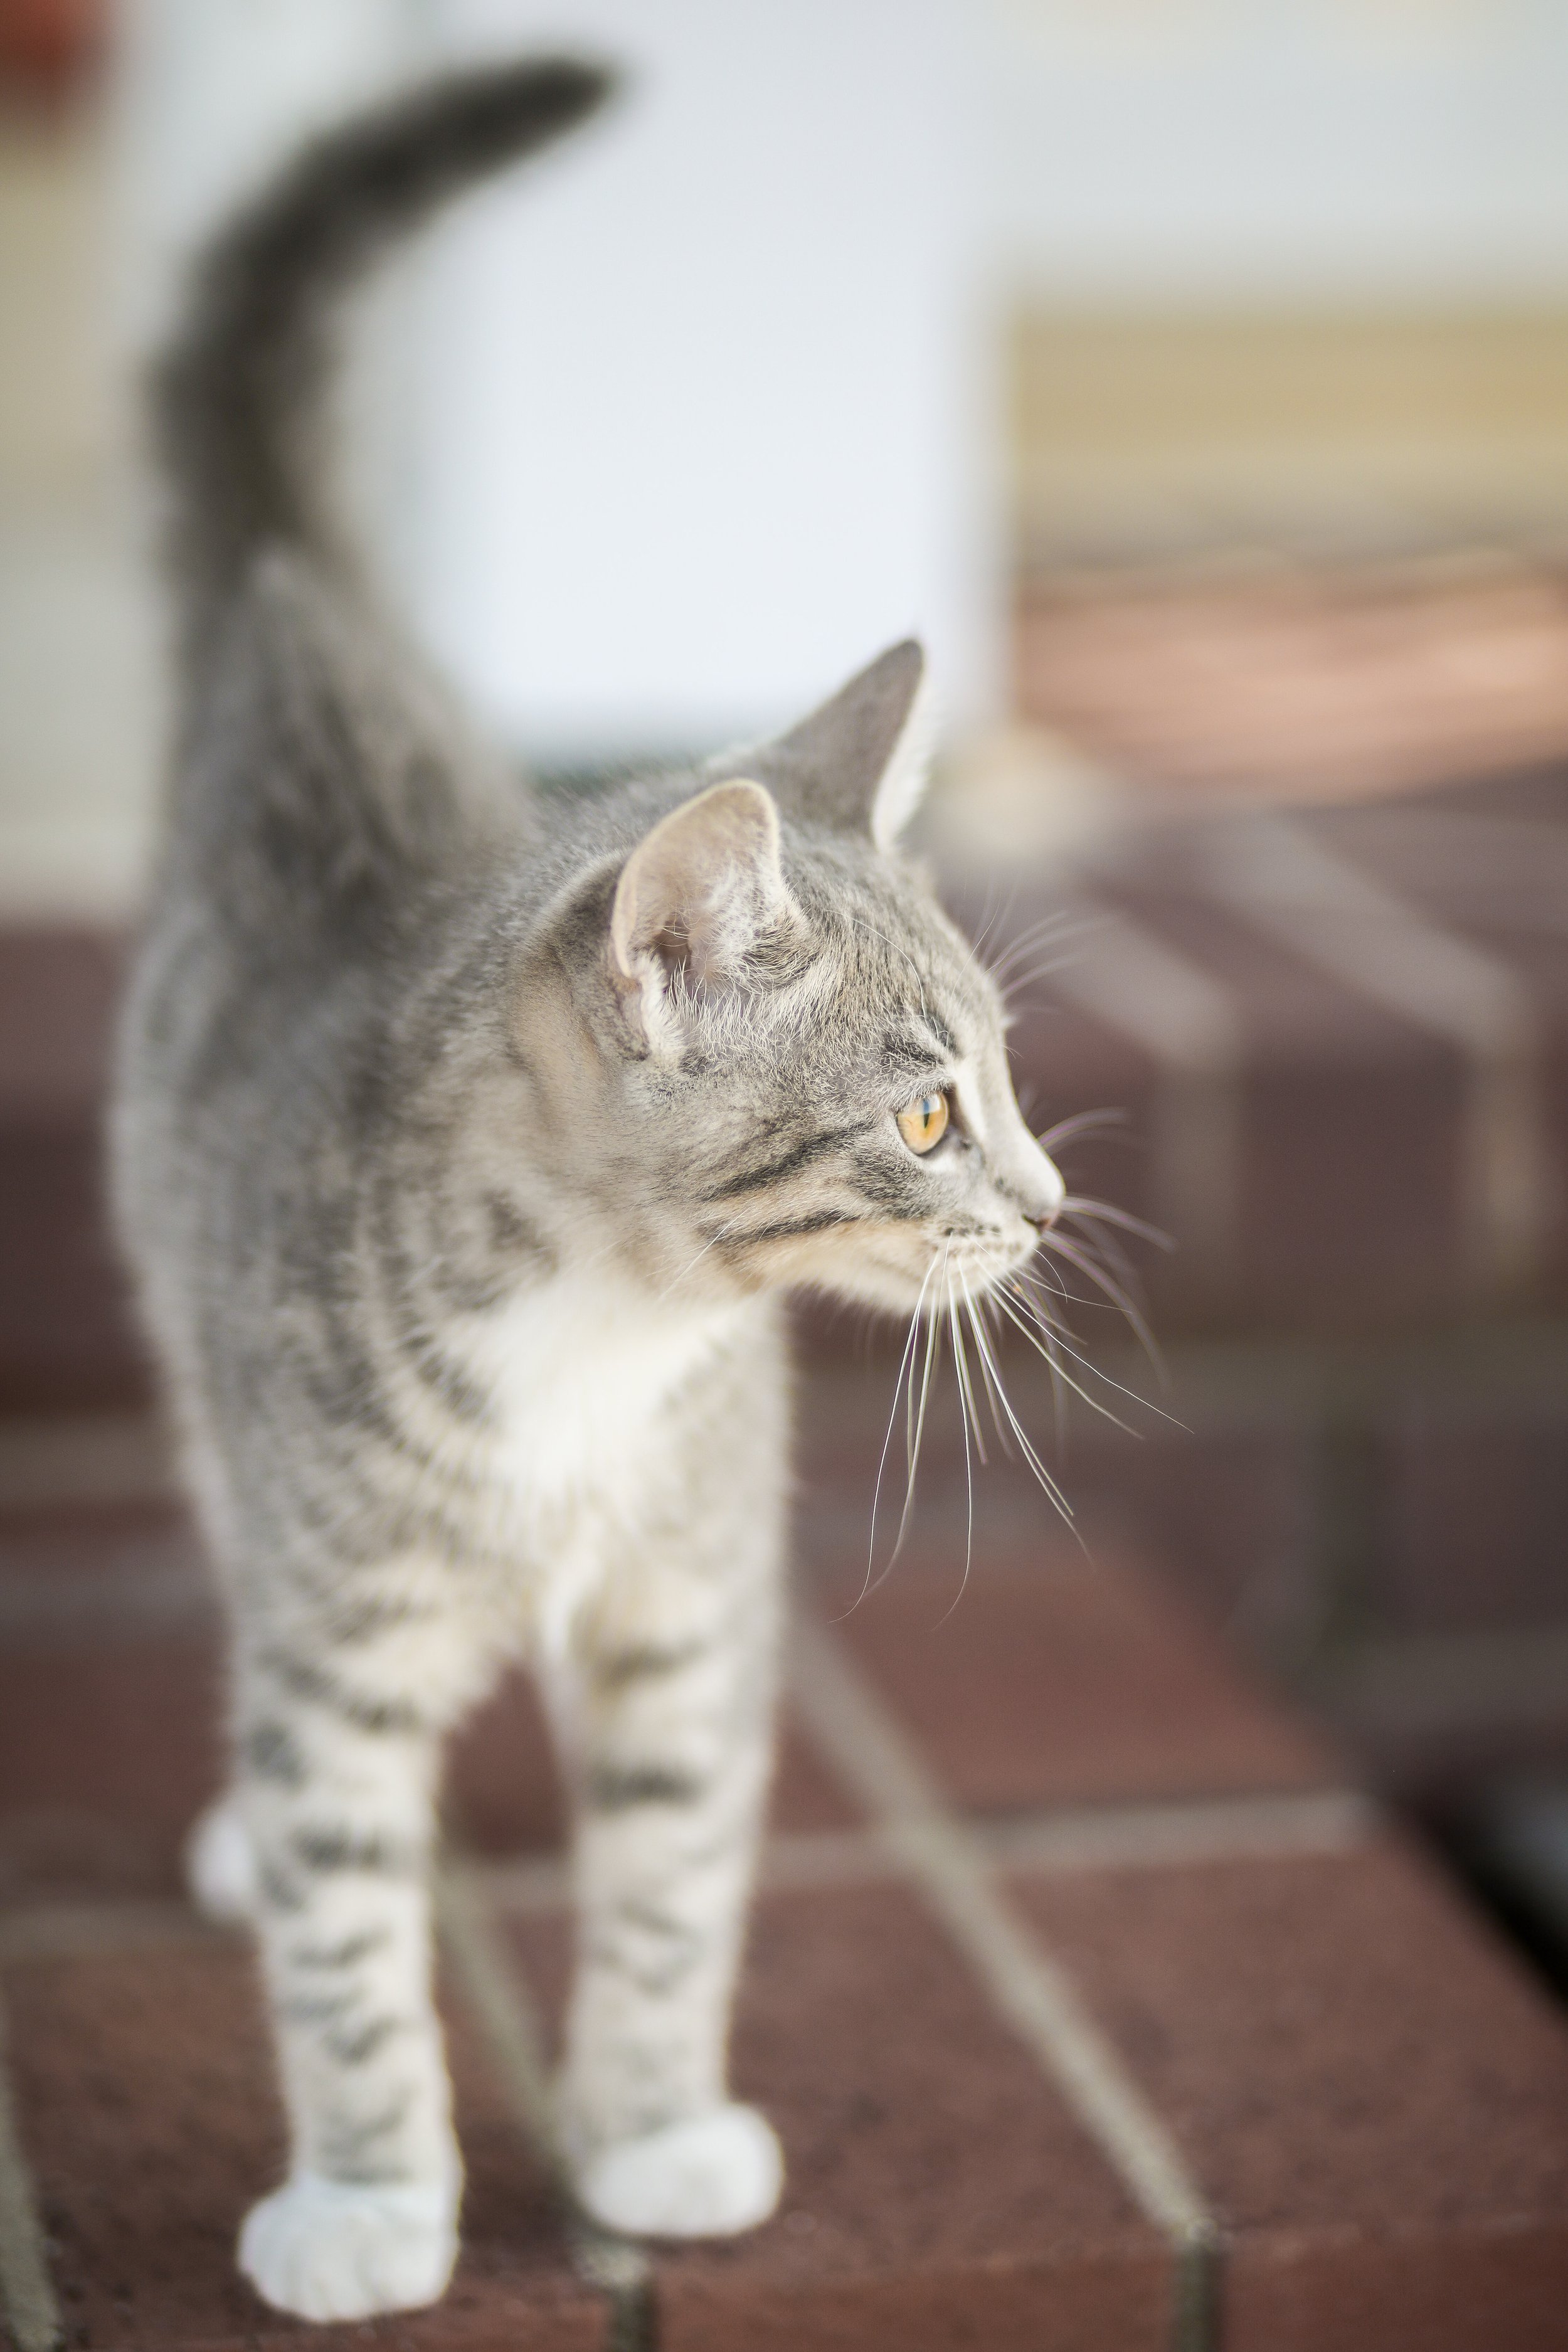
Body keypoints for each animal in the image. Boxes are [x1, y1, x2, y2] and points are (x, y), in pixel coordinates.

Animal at [110, 55, 1067, 2314]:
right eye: (926, 1121)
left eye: (1005, 1078)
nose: (1055, 1199)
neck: (604, 1335)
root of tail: (300, 615)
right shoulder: (339, 1599)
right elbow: (346, 1910)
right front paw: (369, 2195)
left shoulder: (694, 1588)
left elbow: (673, 1868)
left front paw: (646, 2127)